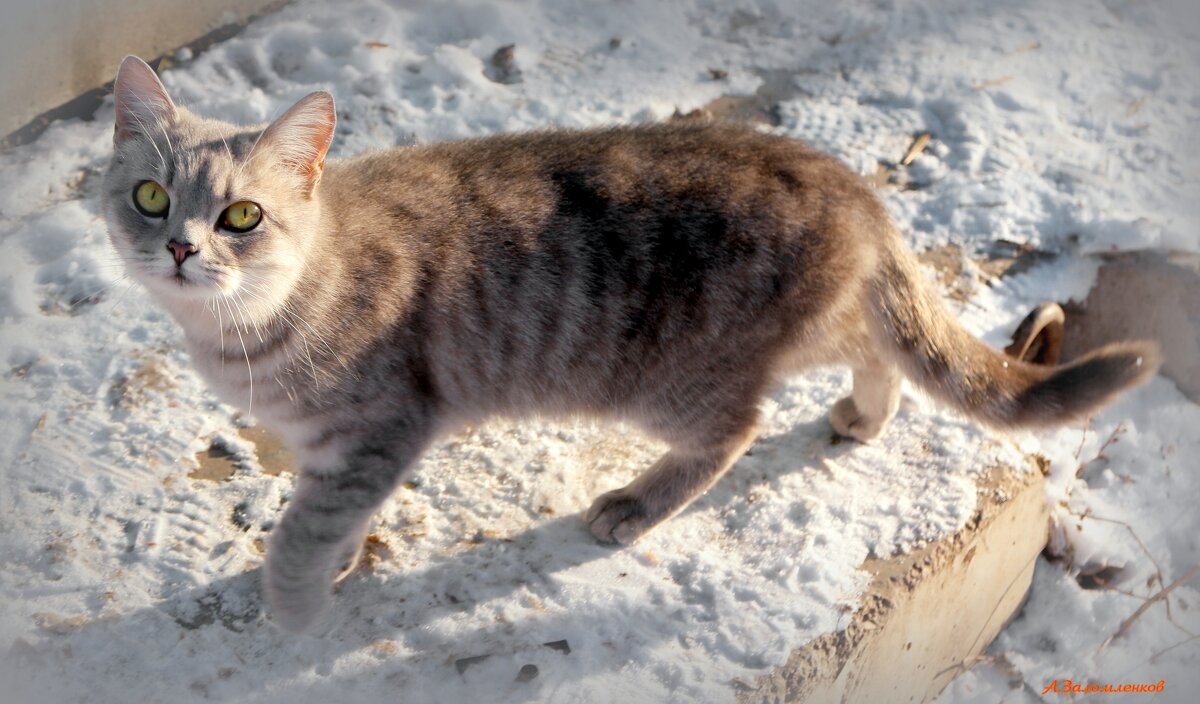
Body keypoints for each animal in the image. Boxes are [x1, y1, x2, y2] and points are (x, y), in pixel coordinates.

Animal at [105, 57, 1161, 638]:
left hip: (676, 382)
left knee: (738, 426)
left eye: (242, 216)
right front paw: (341, 562)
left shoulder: (381, 430)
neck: (247, 330)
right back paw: (864, 413)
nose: (181, 247)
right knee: (877, 348)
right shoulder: (337, 452)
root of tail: (854, 185)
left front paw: (293, 602)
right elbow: (328, 522)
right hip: (812, 324)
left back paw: (639, 501)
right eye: (149, 196)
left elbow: (303, 533)